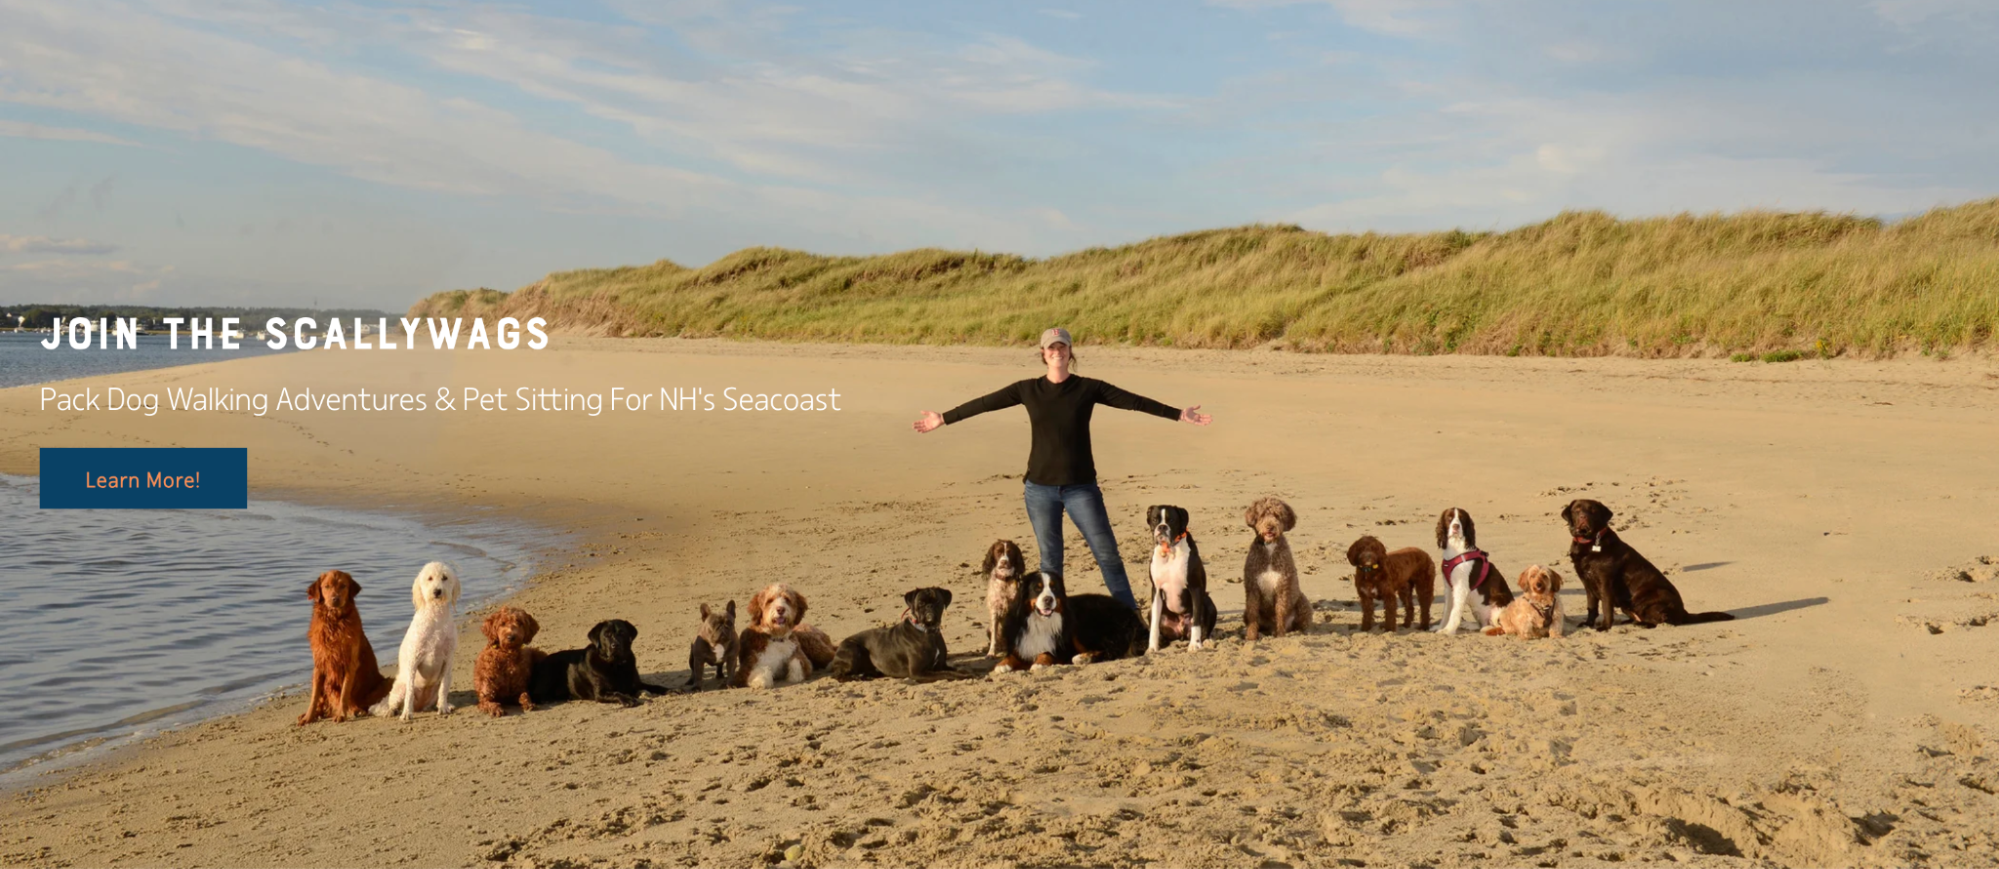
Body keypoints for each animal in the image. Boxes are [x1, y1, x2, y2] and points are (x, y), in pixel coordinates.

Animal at [295, 571, 389, 727]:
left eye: (343, 586)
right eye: (326, 586)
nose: (335, 599)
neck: (334, 623)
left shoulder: (350, 663)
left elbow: (344, 692)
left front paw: (341, 714)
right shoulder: (319, 663)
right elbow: (314, 696)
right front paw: (308, 717)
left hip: (385, 683)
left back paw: (357, 710)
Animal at [369, 563, 457, 723]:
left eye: (445, 577)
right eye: (429, 578)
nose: (437, 591)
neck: (436, 617)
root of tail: (420, 706)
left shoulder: (448, 659)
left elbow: (444, 688)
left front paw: (443, 707)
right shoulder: (414, 658)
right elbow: (409, 692)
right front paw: (406, 714)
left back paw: (445, 704)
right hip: (399, 690)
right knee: (393, 703)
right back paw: (391, 711)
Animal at [527, 619, 667, 707]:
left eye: (622, 633)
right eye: (606, 635)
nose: (615, 645)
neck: (615, 665)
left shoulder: (636, 684)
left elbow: (654, 686)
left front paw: (667, 689)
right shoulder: (600, 693)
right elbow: (616, 692)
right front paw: (627, 699)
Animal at [823, 587, 971, 683]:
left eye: (938, 602)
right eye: (921, 603)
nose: (929, 607)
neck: (928, 632)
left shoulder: (941, 665)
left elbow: (955, 668)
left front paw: (964, 671)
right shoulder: (918, 672)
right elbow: (947, 674)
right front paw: (961, 675)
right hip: (854, 650)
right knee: (838, 675)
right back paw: (856, 677)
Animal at [1247, 497, 1311, 639]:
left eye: (1277, 515)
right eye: (1262, 515)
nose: (1270, 526)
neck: (1270, 547)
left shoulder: (1283, 586)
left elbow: (1280, 611)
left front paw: (1280, 636)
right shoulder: (1253, 588)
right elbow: (1252, 613)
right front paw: (1251, 637)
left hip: (1303, 603)